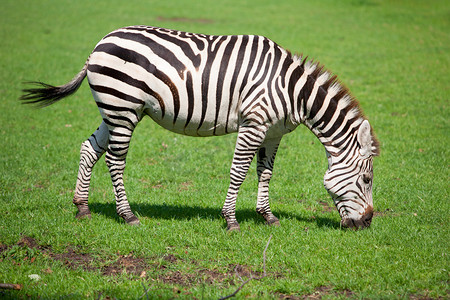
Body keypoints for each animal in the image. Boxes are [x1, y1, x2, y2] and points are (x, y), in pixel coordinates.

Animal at [21, 25, 380, 231]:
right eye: (367, 179)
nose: (367, 223)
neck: (293, 91)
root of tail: (102, 41)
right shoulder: (253, 124)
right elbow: (239, 171)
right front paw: (231, 220)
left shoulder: (273, 132)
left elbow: (265, 173)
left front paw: (267, 216)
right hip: (122, 107)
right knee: (115, 159)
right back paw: (127, 215)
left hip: (120, 108)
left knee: (90, 148)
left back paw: (82, 208)